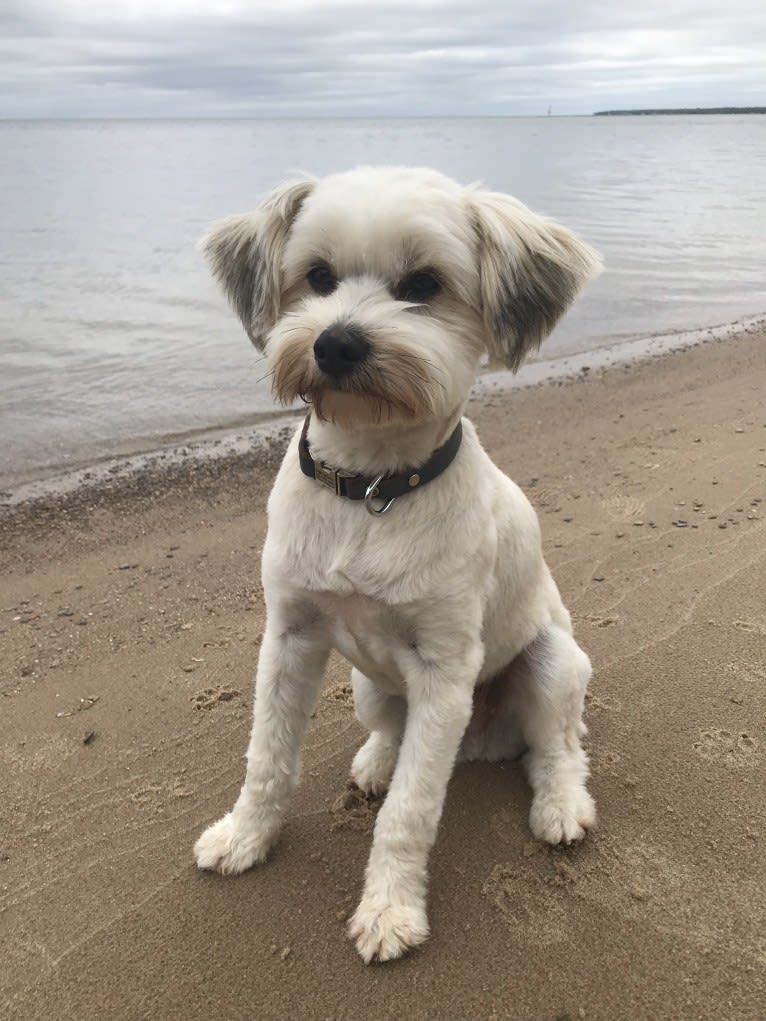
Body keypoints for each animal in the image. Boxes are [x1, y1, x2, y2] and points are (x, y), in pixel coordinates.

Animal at [195, 163, 604, 959]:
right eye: (318, 276)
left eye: (424, 284)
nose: (336, 344)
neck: (370, 492)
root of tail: (482, 739)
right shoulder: (289, 637)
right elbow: (268, 758)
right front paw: (245, 836)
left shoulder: (445, 669)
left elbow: (411, 813)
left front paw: (389, 909)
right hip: (366, 683)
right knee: (391, 726)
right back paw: (378, 761)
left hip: (551, 665)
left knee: (558, 747)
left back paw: (562, 804)